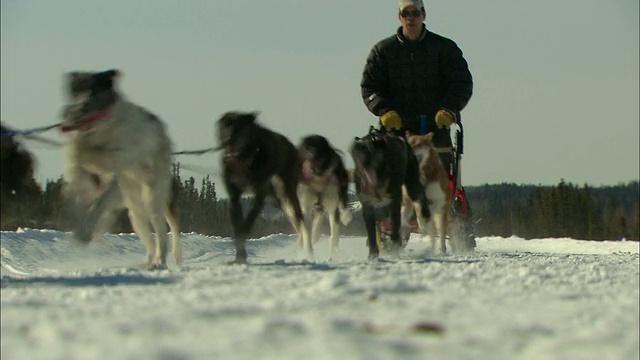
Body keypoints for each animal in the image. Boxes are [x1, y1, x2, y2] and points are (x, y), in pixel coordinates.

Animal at [59, 69, 181, 268]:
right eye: (75, 90)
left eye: (94, 90)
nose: (75, 111)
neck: (97, 136)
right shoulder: (78, 175)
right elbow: (73, 201)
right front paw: (79, 227)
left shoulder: (116, 174)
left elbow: (99, 203)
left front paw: (85, 232)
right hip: (136, 213)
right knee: (149, 237)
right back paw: (149, 260)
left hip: (152, 199)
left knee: (162, 232)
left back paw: (160, 261)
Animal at [215, 111, 310, 262]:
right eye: (225, 126)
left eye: (238, 126)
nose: (227, 139)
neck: (242, 160)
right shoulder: (234, 198)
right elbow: (237, 227)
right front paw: (240, 256)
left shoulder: (259, 197)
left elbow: (247, 224)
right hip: (278, 196)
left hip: (287, 193)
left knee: (300, 221)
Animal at [350, 126, 430, 258]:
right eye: (359, 153)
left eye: (372, 151)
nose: (365, 163)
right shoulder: (367, 205)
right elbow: (371, 233)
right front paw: (372, 254)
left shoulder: (394, 201)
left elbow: (395, 226)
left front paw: (395, 247)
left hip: (411, 184)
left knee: (419, 197)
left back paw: (423, 218)